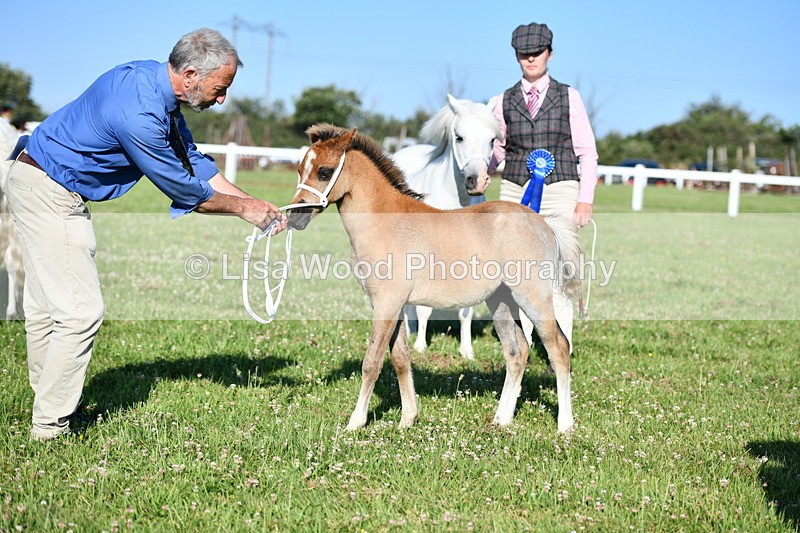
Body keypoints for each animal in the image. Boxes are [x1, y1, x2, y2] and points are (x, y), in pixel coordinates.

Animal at [286, 124, 580, 433]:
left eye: (325, 172)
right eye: (300, 169)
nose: (295, 216)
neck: (385, 223)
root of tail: (545, 223)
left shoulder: (387, 303)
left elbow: (372, 361)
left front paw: (355, 422)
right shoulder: (394, 305)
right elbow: (401, 359)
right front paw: (407, 419)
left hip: (532, 297)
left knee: (559, 348)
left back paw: (564, 425)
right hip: (501, 300)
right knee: (517, 351)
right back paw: (502, 419)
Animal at [392, 94, 501, 360]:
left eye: (492, 139)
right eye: (459, 137)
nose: (477, 181)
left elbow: (466, 311)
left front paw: (466, 350)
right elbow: (424, 308)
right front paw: (420, 346)